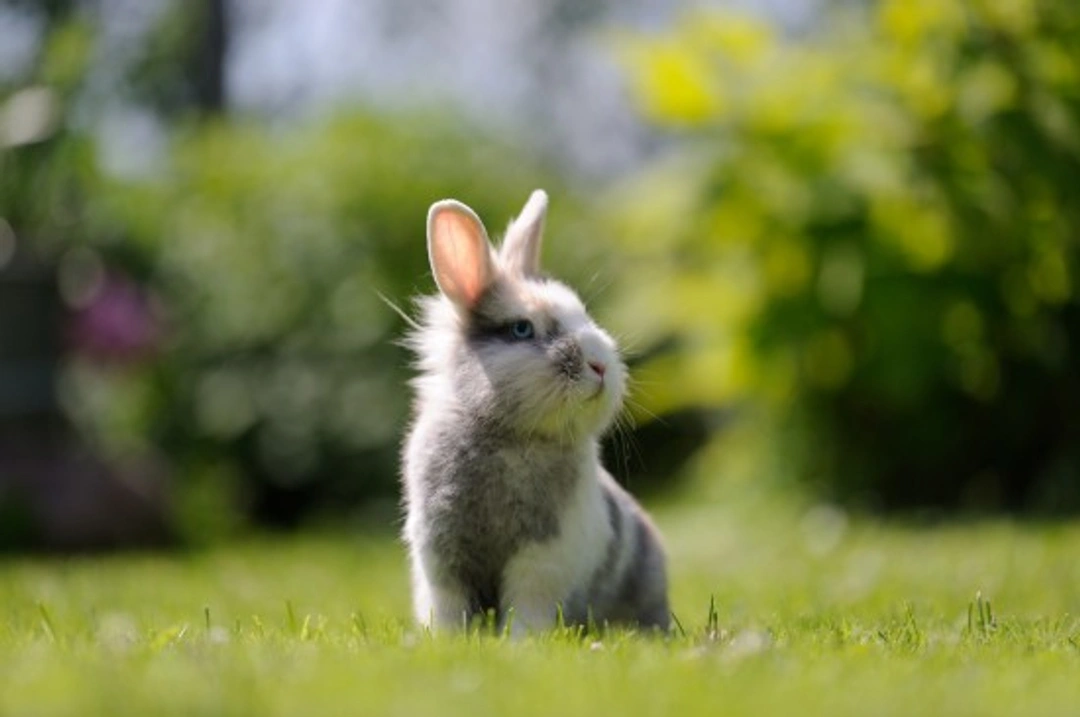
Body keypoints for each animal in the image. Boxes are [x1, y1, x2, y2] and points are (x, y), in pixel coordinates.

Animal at [401, 189, 669, 636]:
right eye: (522, 329)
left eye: (584, 315)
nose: (601, 366)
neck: (511, 437)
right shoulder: (443, 559)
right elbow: (450, 610)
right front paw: (447, 641)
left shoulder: (541, 559)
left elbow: (527, 608)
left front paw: (522, 643)